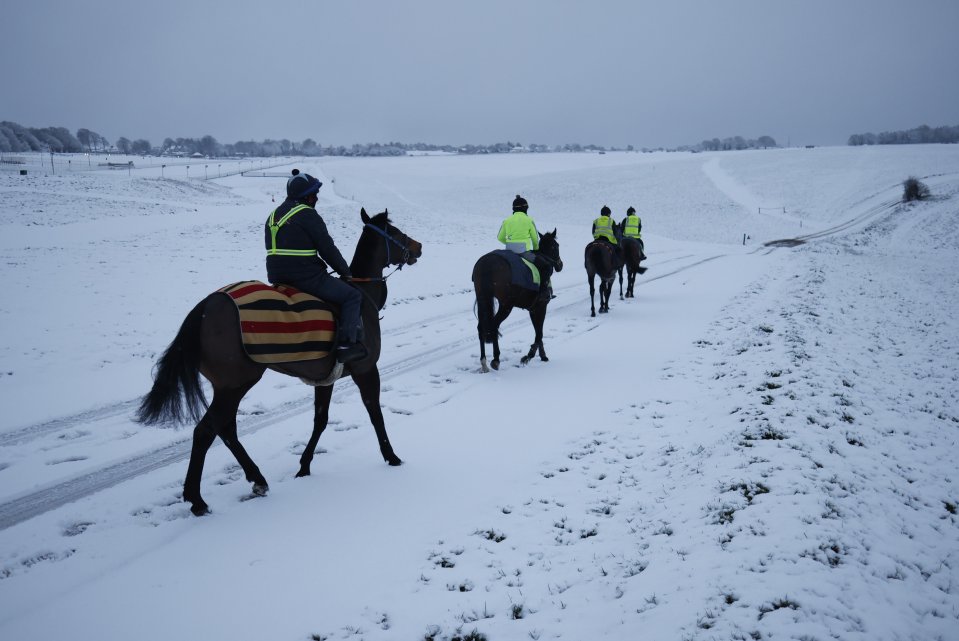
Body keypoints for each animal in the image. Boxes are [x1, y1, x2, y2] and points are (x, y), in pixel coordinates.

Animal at [137, 210, 422, 516]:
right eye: (396, 231)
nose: (417, 247)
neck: (361, 296)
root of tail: (207, 305)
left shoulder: (326, 378)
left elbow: (320, 420)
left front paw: (304, 466)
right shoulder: (366, 369)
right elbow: (375, 414)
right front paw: (391, 456)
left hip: (229, 386)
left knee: (225, 429)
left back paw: (257, 479)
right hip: (236, 383)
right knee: (206, 431)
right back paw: (197, 499)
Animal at [470, 230, 564, 372]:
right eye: (556, 246)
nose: (560, 265)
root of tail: (487, 263)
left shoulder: (533, 309)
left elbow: (538, 331)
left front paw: (542, 356)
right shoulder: (541, 306)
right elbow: (539, 333)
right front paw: (528, 356)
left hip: (483, 298)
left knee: (481, 327)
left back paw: (484, 362)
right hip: (506, 305)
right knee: (494, 325)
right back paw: (496, 359)